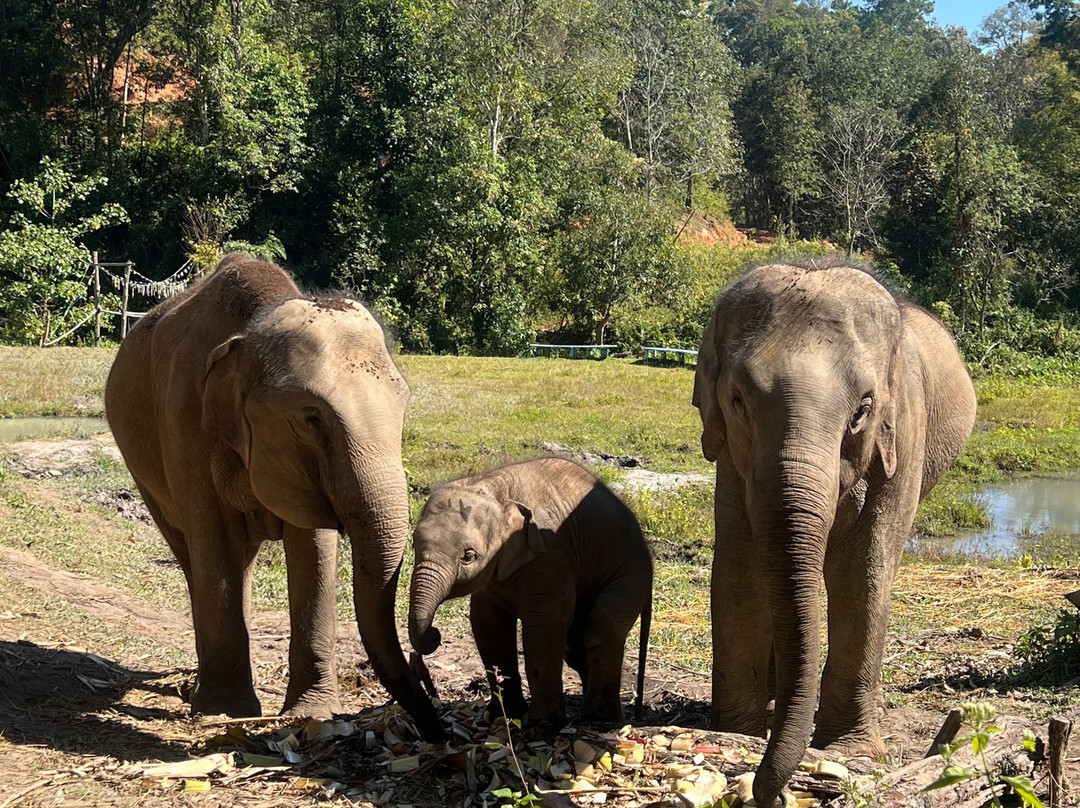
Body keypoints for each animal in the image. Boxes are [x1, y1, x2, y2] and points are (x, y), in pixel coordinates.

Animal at [104, 253, 442, 740]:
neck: (253, 327)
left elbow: (313, 544)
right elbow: (211, 538)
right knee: (193, 556)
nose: (436, 729)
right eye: (311, 417)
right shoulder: (183, 421)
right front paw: (226, 713)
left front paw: (312, 713)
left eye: (404, 404)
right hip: (143, 471)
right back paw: (202, 691)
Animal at [408, 457, 652, 729]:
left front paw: (541, 724)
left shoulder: (550, 557)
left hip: (631, 575)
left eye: (468, 556)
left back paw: (597, 719)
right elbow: (488, 626)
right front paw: (501, 717)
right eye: (414, 544)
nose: (434, 634)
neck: (495, 488)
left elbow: (543, 626)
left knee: (600, 629)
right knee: (576, 645)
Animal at [692, 260, 976, 806]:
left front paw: (853, 751)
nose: (766, 792)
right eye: (737, 400)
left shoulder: (903, 435)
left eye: (862, 409)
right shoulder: (731, 459)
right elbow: (739, 563)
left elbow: (862, 570)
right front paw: (737, 733)